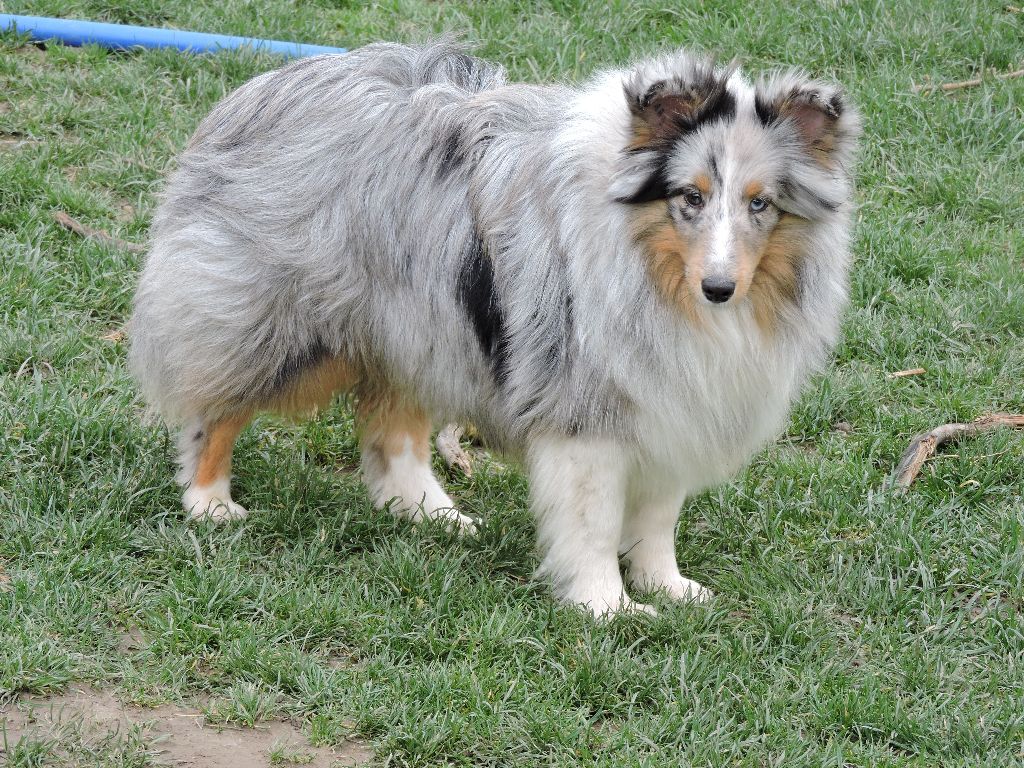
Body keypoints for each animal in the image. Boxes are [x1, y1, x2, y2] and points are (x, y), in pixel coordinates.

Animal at [129, 42, 859, 616]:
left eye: (760, 203)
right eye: (691, 197)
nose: (719, 288)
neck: (654, 272)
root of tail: (261, 90)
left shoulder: (671, 397)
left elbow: (657, 515)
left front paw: (668, 587)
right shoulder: (586, 408)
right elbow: (595, 522)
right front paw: (608, 607)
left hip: (415, 325)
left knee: (393, 432)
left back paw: (433, 514)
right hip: (280, 325)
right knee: (214, 408)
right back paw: (210, 503)